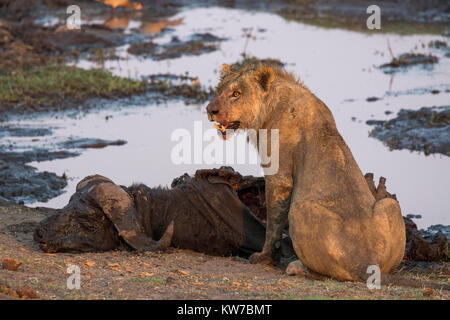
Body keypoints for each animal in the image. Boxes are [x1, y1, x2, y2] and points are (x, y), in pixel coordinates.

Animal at [206, 63, 406, 282]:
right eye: (219, 90)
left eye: (236, 93)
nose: (210, 110)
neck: (270, 106)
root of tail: (365, 262)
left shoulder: (279, 175)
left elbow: (273, 222)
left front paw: (265, 257)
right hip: (390, 205)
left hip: (298, 209)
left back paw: (296, 267)